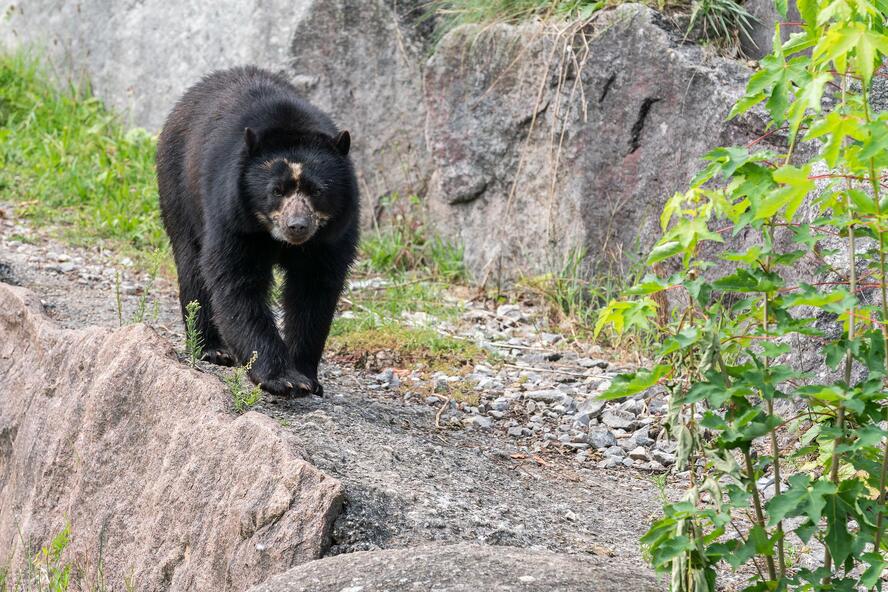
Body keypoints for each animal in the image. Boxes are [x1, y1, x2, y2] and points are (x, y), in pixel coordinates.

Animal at [158, 66, 360, 398]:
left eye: (317, 191)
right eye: (276, 190)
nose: (297, 226)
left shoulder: (331, 236)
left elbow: (314, 292)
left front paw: (308, 377)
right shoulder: (233, 217)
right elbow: (238, 283)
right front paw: (283, 379)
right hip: (178, 191)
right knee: (192, 266)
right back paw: (211, 348)